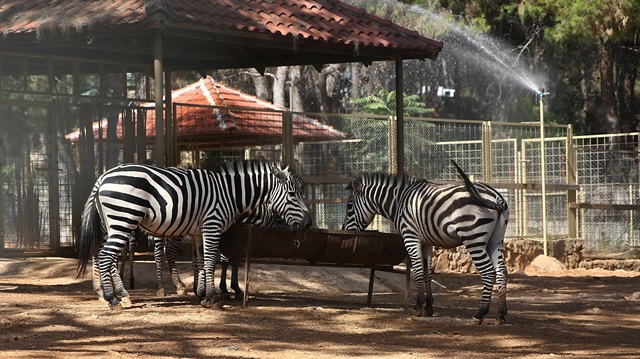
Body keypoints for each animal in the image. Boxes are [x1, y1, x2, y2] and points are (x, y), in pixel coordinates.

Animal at [76, 160, 312, 310]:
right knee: (106, 255)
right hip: (124, 219)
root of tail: (103, 177)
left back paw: (118, 294)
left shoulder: (200, 231)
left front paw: (203, 294)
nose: (309, 223)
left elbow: (201, 261)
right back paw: (113, 299)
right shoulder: (213, 225)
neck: (231, 194)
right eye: (293, 194)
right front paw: (214, 297)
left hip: (111, 223)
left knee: (102, 254)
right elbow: (212, 260)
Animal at [342, 162, 508, 324]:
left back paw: (480, 313)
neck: (399, 201)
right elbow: (427, 272)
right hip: (495, 240)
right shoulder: (427, 242)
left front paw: (417, 306)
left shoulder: (410, 237)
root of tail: (495, 196)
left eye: (349, 207)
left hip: (473, 237)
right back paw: (500, 314)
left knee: (488, 272)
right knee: (501, 271)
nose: (344, 231)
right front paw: (428, 307)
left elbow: (418, 270)